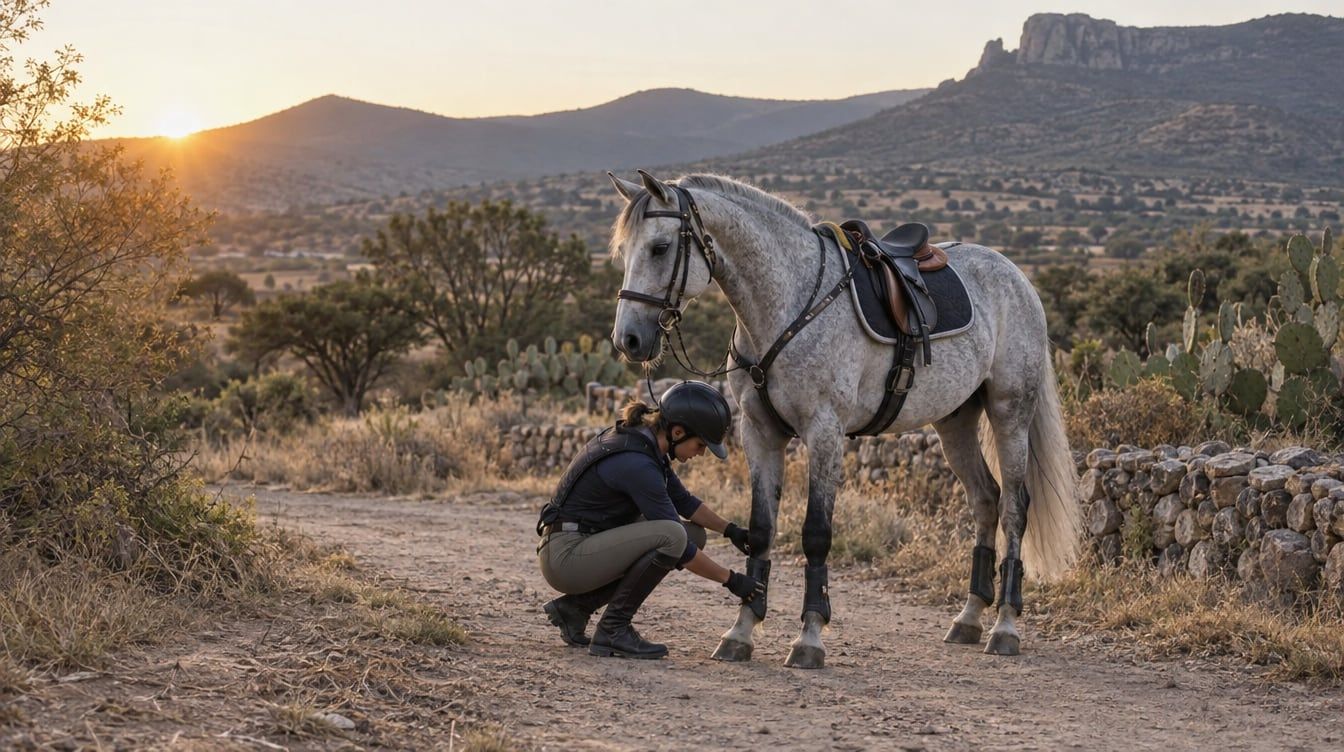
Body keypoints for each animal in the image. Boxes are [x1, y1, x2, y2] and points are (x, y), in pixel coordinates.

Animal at [606, 170, 1080, 667]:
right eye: (624, 251)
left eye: (660, 247)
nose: (629, 340)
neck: (788, 305)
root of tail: (1016, 276)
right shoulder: (760, 434)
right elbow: (761, 530)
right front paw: (742, 630)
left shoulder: (825, 433)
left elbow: (816, 534)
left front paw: (810, 637)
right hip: (955, 421)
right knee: (985, 500)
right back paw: (968, 618)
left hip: (1011, 413)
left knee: (1013, 508)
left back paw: (1005, 625)